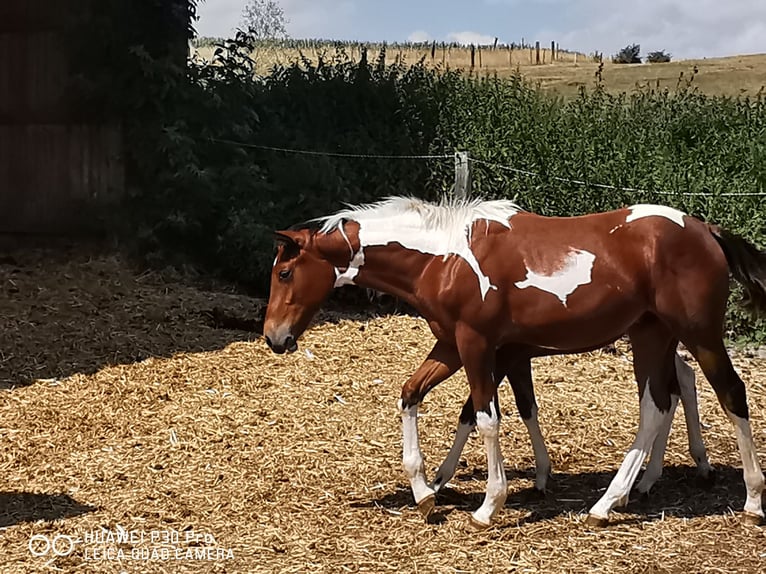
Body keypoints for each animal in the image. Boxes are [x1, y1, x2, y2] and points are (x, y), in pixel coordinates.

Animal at [262, 199, 760, 532]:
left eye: (284, 273)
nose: (274, 337)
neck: (443, 258)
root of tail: (705, 229)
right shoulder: (452, 345)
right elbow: (412, 395)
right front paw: (425, 492)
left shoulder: (479, 346)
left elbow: (485, 417)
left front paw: (488, 505)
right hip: (651, 335)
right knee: (658, 404)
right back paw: (612, 500)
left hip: (698, 334)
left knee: (728, 393)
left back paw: (752, 500)